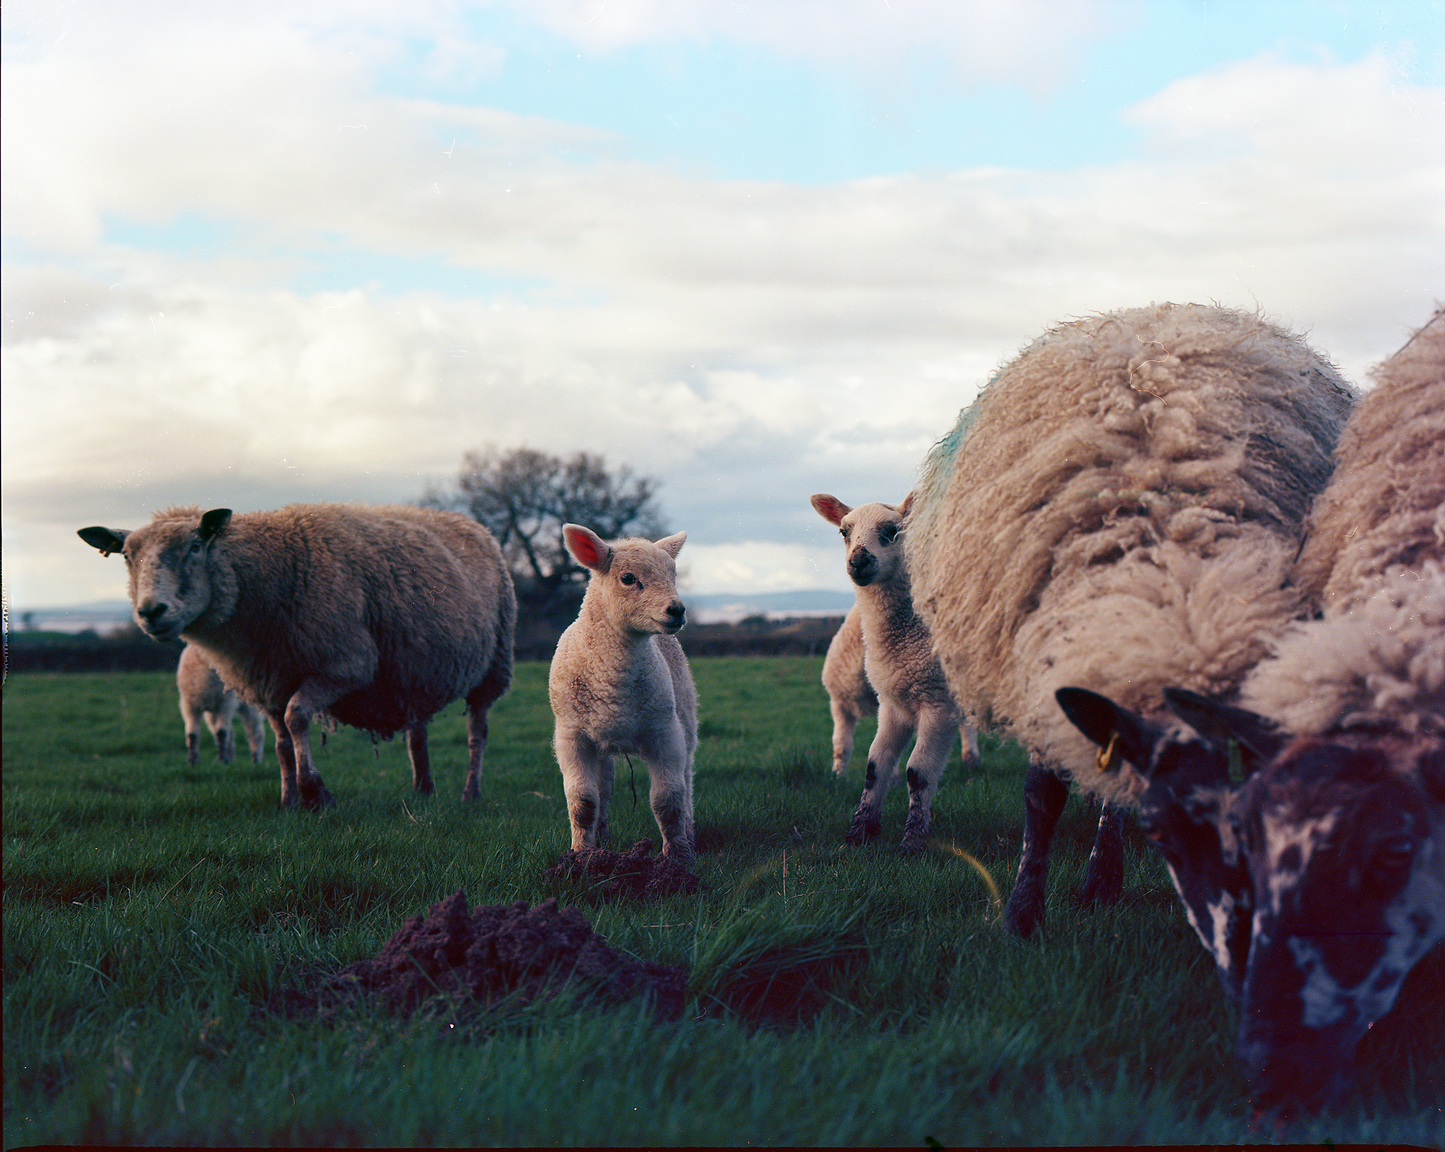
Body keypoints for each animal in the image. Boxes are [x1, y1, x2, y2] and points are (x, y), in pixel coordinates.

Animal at [79, 503, 516, 809]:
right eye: (127, 556)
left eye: (195, 546)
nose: (151, 612)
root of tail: (475, 526)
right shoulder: (268, 682)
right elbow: (280, 743)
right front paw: (289, 799)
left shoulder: (345, 666)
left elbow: (297, 718)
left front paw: (315, 792)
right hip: (414, 670)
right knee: (418, 732)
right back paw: (423, 789)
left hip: (493, 665)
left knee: (478, 733)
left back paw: (471, 793)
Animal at [548, 524, 698, 865]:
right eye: (628, 578)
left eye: (672, 574)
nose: (677, 610)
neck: (612, 684)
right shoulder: (572, 735)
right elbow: (582, 801)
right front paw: (581, 855)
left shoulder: (664, 731)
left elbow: (667, 799)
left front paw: (677, 858)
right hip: (599, 740)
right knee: (603, 786)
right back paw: (600, 840)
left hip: (685, 718)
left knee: (686, 778)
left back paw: (689, 829)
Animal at [812, 494, 980, 852]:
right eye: (844, 531)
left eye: (892, 531)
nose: (859, 560)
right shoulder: (893, 703)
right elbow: (874, 765)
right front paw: (859, 833)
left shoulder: (937, 703)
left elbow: (918, 772)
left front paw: (913, 841)